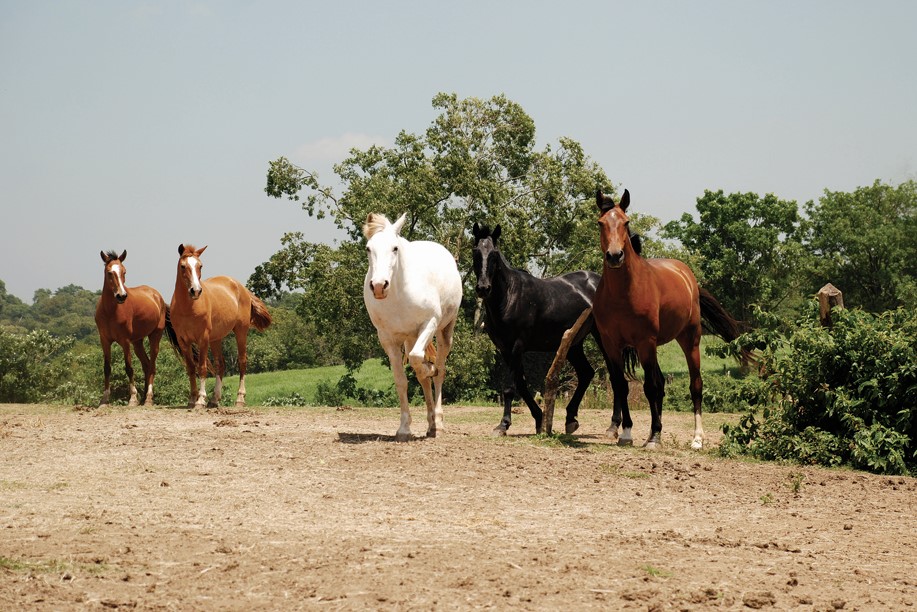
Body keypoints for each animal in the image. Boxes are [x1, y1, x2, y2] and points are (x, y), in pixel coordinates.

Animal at [96, 249, 168, 406]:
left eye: (124, 271)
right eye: (109, 272)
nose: (121, 296)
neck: (110, 311)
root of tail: (157, 296)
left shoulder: (125, 342)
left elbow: (129, 368)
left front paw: (133, 398)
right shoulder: (104, 341)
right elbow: (106, 368)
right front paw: (104, 399)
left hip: (154, 337)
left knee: (152, 366)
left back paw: (148, 398)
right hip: (137, 343)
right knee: (146, 365)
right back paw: (143, 398)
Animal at [167, 243, 270, 406]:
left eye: (200, 266)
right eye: (183, 266)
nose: (196, 291)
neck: (187, 308)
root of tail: (241, 287)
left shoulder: (203, 339)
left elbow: (202, 367)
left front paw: (200, 399)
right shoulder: (183, 341)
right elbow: (191, 368)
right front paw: (192, 398)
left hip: (241, 331)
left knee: (242, 361)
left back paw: (240, 398)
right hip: (216, 339)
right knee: (220, 365)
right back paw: (215, 399)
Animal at [362, 213, 462, 442]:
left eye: (395, 248)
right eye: (368, 248)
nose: (379, 286)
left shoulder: (429, 324)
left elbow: (420, 361)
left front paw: (429, 368)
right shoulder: (388, 339)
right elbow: (402, 380)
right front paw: (404, 429)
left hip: (444, 331)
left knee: (440, 371)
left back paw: (438, 423)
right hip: (410, 338)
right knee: (422, 377)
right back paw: (430, 424)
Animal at [472, 222, 636, 438]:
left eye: (494, 254)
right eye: (475, 252)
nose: (483, 288)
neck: (509, 297)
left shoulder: (517, 346)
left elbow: (510, 387)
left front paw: (503, 425)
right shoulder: (505, 350)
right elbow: (521, 384)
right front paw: (539, 419)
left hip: (603, 339)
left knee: (615, 377)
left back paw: (613, 426)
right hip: (573, 344)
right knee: (586, 373)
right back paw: (571, 419)